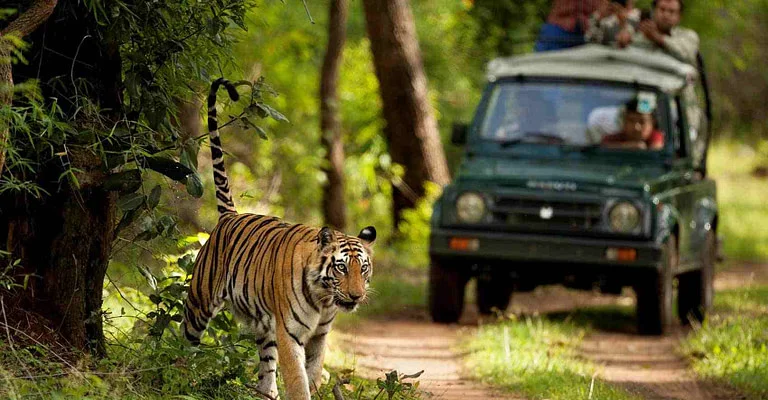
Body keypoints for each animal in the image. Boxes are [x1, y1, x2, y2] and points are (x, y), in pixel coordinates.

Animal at [180, 79, 372, 400]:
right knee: (183, 340)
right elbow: (297, 380)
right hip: (200, 302)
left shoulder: (320, 335)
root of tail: (230, 216)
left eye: (364, 268)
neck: (324, 299)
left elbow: (314, 372)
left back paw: (265, 393)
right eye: (341, 267)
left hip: (264, 325)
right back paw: (173, 370)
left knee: (266, 365)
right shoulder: (289, 333)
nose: (356, 296)